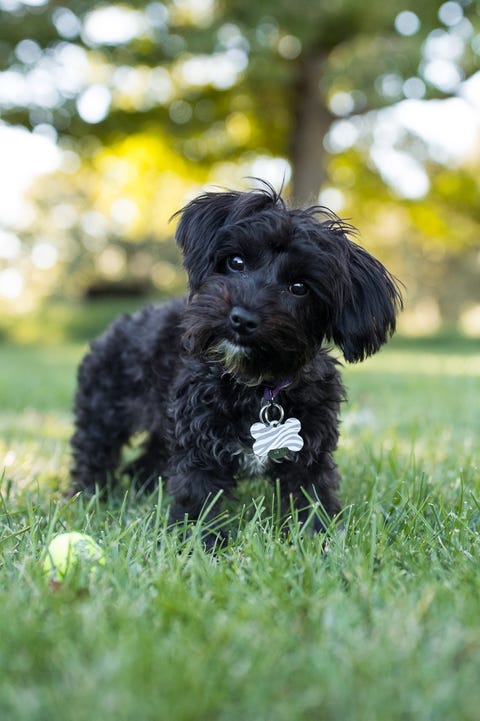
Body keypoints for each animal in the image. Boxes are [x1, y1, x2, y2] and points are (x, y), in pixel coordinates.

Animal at [70, 186, 402, 540]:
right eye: (236, 261)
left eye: (299, 287)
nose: (241, 318)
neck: (256, 385)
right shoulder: (198, 445)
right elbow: (197, 497)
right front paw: (197, 543)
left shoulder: (310, 451)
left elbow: (312, 497)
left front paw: (318, 539)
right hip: (105, 412)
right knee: (94, 453)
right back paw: (86, 497)